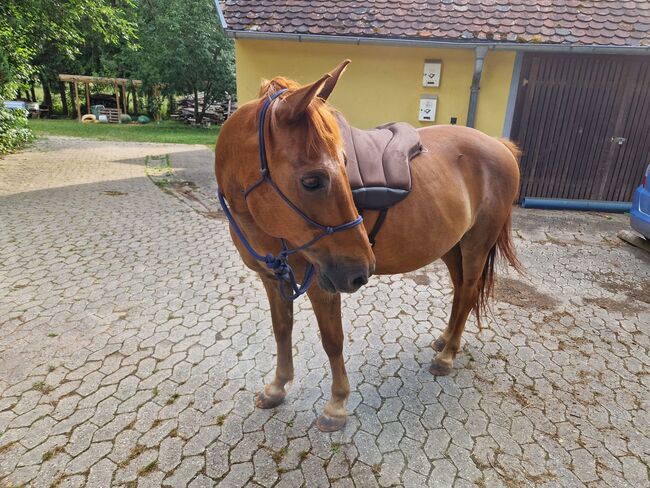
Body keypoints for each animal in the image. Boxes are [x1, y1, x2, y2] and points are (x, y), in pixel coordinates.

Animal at [215, 60, 520, 430]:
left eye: (345, 166)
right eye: (312, 180)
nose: (362, 270)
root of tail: (500, 145)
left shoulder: (322, 283)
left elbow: (332, 340)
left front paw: (336, 405)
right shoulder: (273, 278)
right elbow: (281, 330)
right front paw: (276, 388)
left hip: (476, 244)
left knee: (469, 291)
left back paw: (447, 357)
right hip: (452, 246)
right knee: (462, 289)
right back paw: (446, 340)